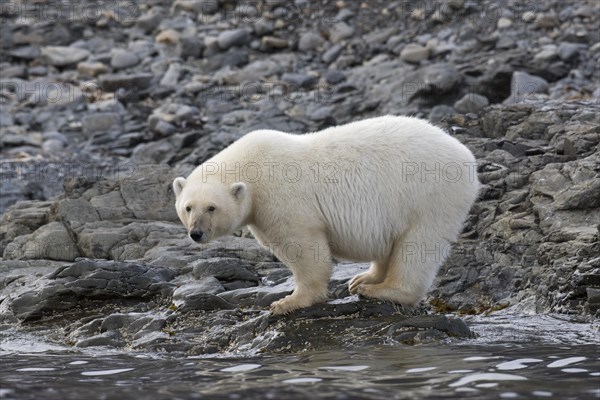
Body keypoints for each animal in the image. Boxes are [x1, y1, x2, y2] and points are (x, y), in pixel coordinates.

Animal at [172, 115, 478, 316]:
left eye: (212, 208)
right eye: (188, 207)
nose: (196, 233)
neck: (252, 167)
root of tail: (467, 157)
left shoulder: (281, 198)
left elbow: (303, 247)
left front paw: (287, 302)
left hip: (429, 196)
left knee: (418, 246)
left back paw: (382, 290)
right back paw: (364, 278)